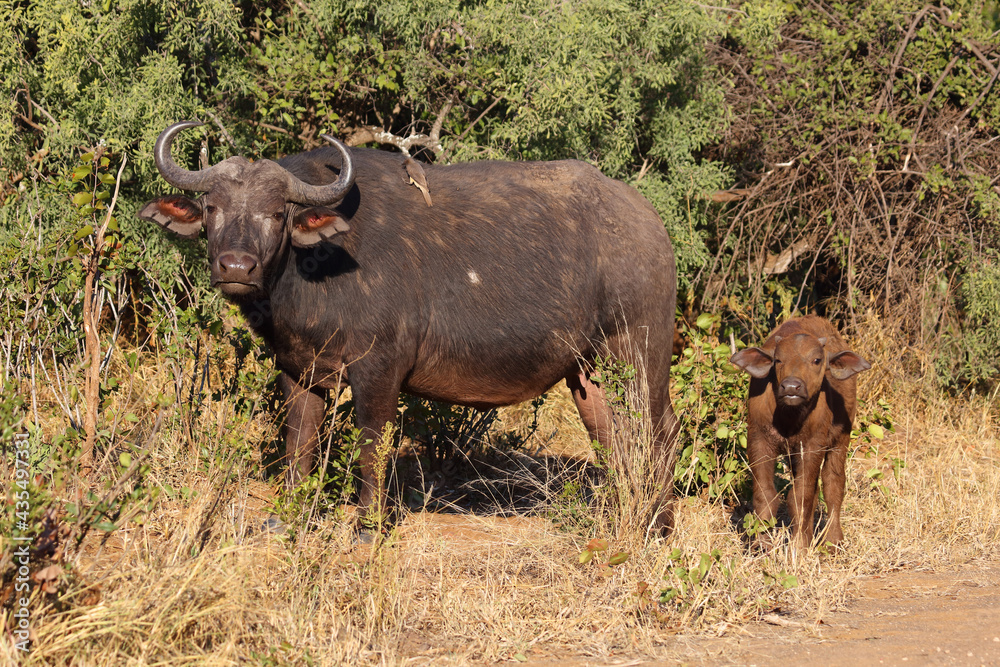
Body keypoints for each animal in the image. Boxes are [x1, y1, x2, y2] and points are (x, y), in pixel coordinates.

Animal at [139, 121, 680, 532]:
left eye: (276, 214)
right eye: (213, 209)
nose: (236, 266)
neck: (318, 266)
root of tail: (651, 226)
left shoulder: (378, 370)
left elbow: (371, 443)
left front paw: (366, 525)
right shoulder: (299, 371)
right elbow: (299, 442)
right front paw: (288, 515)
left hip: (641, 354)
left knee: (661, 430)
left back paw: (658, 524)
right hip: (588, 373)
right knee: (613, 437)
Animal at [732, 316, 872, 552]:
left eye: (816, 360)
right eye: (778, 359)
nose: (791, 387)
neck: (789, 418)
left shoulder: (813, 445)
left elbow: (800, 497)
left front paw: (799, 547)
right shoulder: (759, 439)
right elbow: (765, 493)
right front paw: (761, 543)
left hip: (840, 440)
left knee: (833, 484)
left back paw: (833, 540)